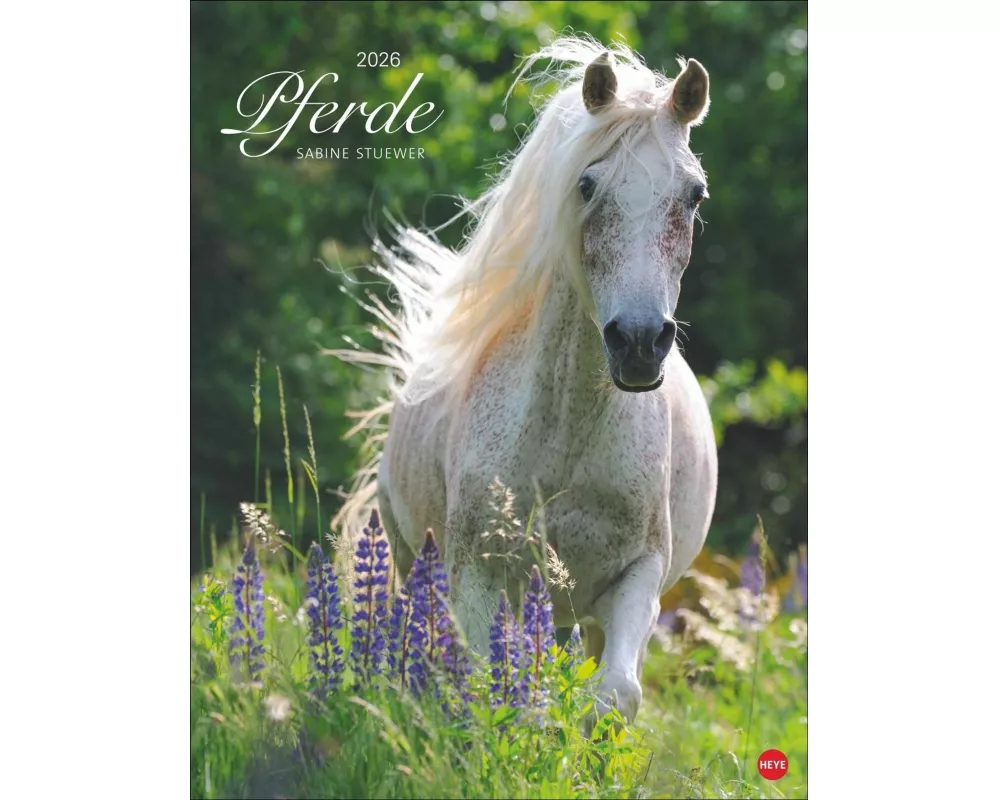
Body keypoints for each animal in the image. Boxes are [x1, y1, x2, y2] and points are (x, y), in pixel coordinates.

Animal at [333, 36, 718, 723]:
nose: (639, 343)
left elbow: (614, 694)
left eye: (693, 194)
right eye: (587, 184)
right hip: (410, 558)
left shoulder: (637, 577)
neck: (567, 434)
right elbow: (490, 689)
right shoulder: (476, 577)